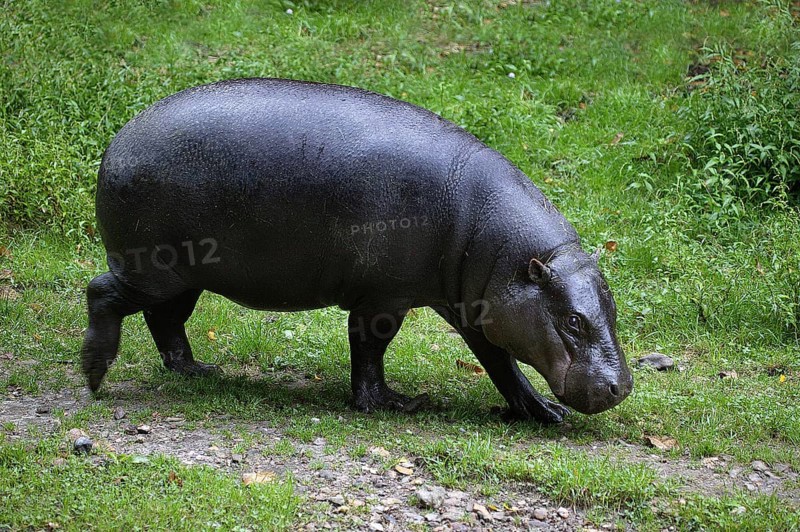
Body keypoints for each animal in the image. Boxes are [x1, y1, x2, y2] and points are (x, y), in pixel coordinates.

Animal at [82, 78, 632, 423]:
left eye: (612, 309)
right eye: (573, 321)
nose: (622, 386)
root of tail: (118, 141)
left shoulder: (480, 307)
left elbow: (501, 363)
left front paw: (545, 413)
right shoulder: (385, 296)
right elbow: (370, 347)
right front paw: (392, 403)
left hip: (188, 274)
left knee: (166, 320)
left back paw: (198, 371)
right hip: (154, 266)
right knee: (103, 292)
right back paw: (94, 375)